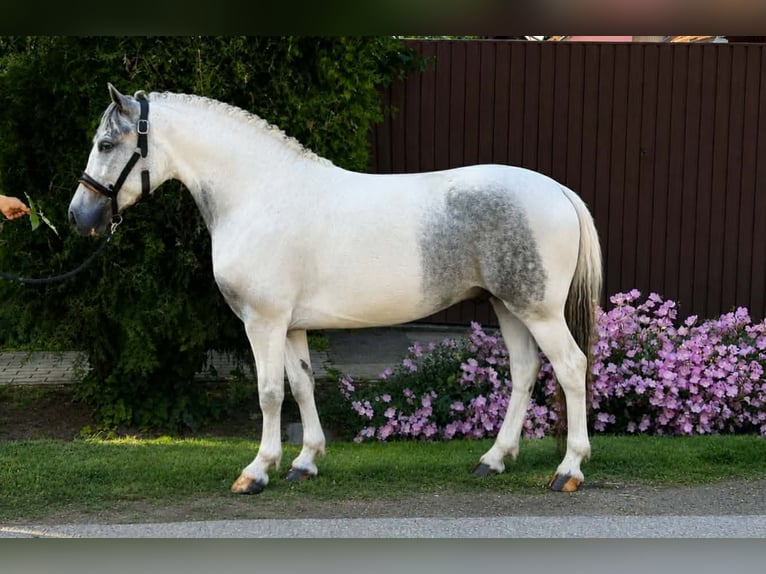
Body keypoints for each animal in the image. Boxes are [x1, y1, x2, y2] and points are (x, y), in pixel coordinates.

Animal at [69, 84, 603, 494]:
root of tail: (557, 190)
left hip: (538, 311)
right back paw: (493, 459)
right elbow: (302, 385)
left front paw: (257, 471)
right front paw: (304, 462)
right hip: (507, 306)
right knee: (525, 371)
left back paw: (568, 470)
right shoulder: (289, 326)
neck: (259, 195)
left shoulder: (263, 322)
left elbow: (268, 393)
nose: (78, 216)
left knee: (571, 368)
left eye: (106, 144)